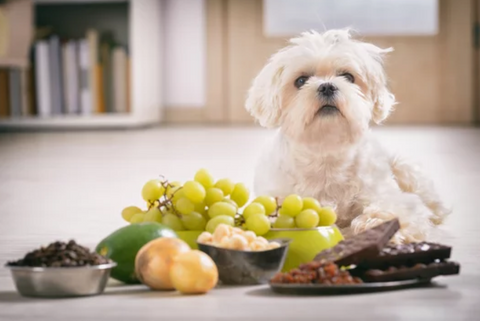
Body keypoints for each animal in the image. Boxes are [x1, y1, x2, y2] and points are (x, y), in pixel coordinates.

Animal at [248, 29, 450, 242]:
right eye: (301, 80)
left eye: (348, 76)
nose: (327, 86)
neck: (326, 152)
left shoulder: (389, 196)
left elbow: (394, 210)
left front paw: (376, 224)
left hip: (405, 169)